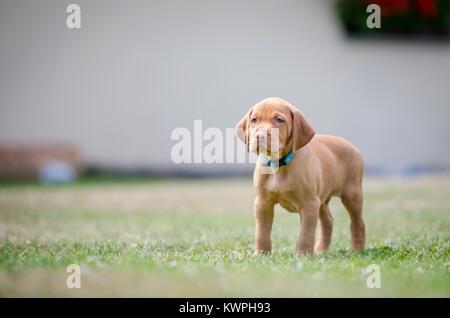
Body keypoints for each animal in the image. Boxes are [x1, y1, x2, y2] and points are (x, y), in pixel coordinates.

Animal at [236, 97, 366, 256]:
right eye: (254, 120)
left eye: (279, 120)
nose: (259, 135)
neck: (278, 164)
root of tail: (351, 145)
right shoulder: (262, 203)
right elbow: (262, 232)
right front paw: (262, 254)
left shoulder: (309, 204)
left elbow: (305, 234)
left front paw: (302, 255)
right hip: (322, 199)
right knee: (328, 221)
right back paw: (321, 250)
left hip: (352, 195)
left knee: (358, 222)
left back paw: (357, 250)